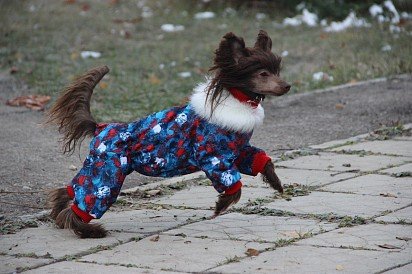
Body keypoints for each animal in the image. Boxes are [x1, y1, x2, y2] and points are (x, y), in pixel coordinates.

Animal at [47, 30, 290, 237]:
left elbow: (262, 160)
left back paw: (59, 215)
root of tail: (101, 127)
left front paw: (277, 184)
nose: (287, 86)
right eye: (263, 74)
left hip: (98, 168)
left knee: (72, 189)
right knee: (86, 201)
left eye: (277, 72)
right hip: (107, 173)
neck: (237, 103)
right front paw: (220, 207)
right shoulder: (213, 158)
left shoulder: (237, 152)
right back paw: (87, 229)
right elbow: (233, 189)